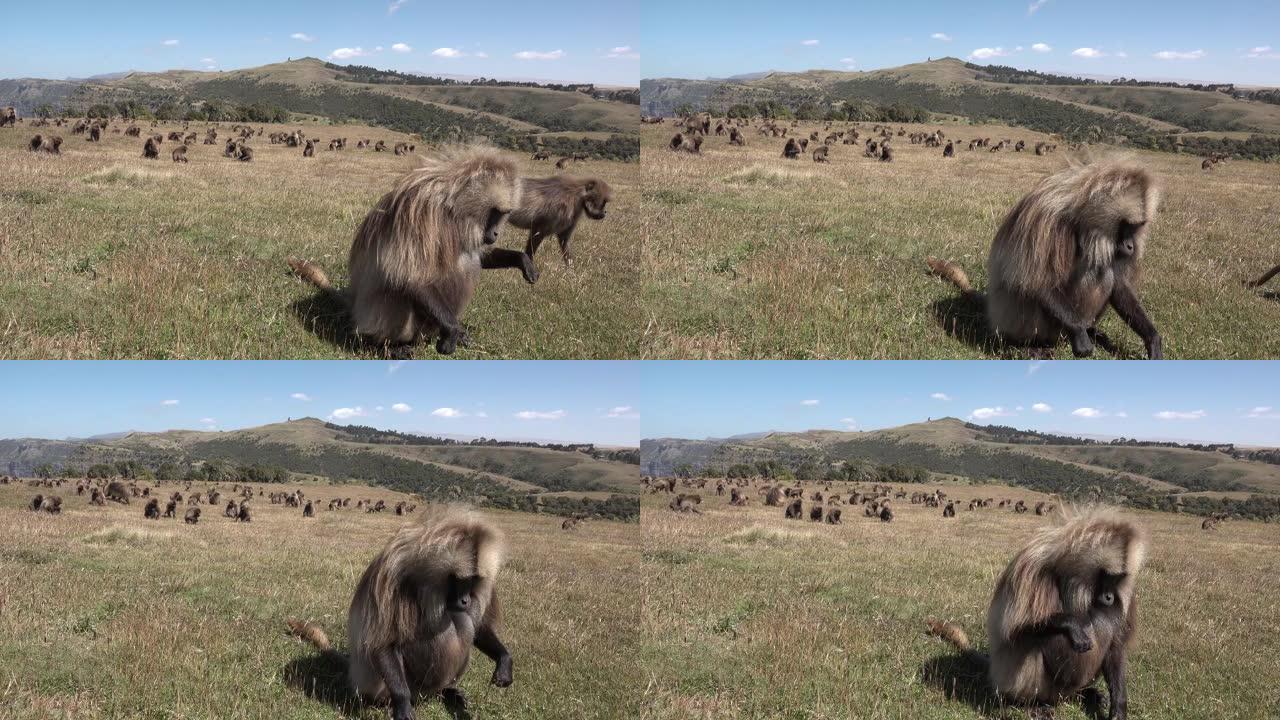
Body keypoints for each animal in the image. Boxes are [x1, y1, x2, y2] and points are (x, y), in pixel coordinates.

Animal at [926, 507, 1146, 712]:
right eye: (1106, 576)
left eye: (1118, 578)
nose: (1110, 597)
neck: (1064, 574)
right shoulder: (1031, 572)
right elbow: (1015, 630)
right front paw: (1072, 623)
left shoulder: (1126, 595)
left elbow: (1116, 645)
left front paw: (1118, 706)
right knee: (1041, 640)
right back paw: (1032, 705)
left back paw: (1086, 694)